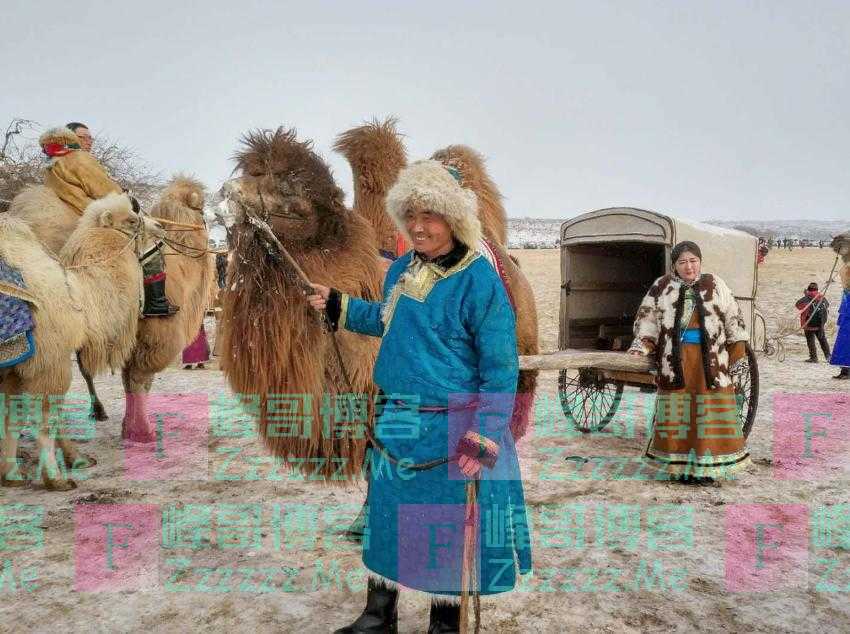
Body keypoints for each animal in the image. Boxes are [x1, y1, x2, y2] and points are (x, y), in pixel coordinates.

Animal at [0, 193, 164, 488]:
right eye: (132, 220)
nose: (161, 227)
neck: (78, 296)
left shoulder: (13, 370)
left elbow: (10, 419)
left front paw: (11, 475)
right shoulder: (48, 362)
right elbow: (44, 419)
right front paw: (55, 479)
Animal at [121, 174, 214, 440]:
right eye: (201, 207)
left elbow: (130, 381)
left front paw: (127, 427)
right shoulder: (158, 337)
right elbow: (140, 380)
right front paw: (143, 430)